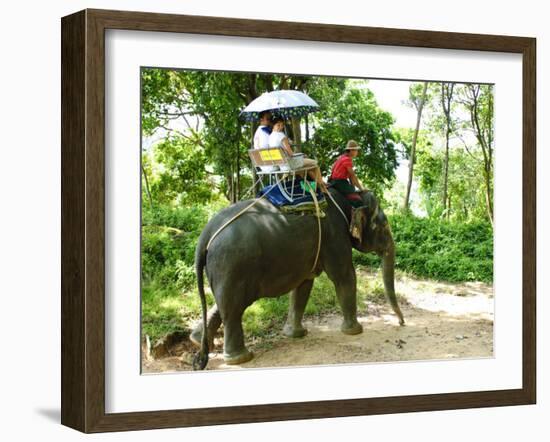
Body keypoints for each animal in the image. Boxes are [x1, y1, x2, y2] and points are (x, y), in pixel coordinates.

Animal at [193, 187, 406, 370]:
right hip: (233, 264)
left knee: (224, 304)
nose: (402, 323)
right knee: (233, 309)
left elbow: (303, 284)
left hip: (225, 269)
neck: (349, 199)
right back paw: (239, 358)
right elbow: (344, 276)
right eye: (384, 226)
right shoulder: (335, 236)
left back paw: (197, 340)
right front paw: (354, 331)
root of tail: (206, 233)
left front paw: (295, 335)